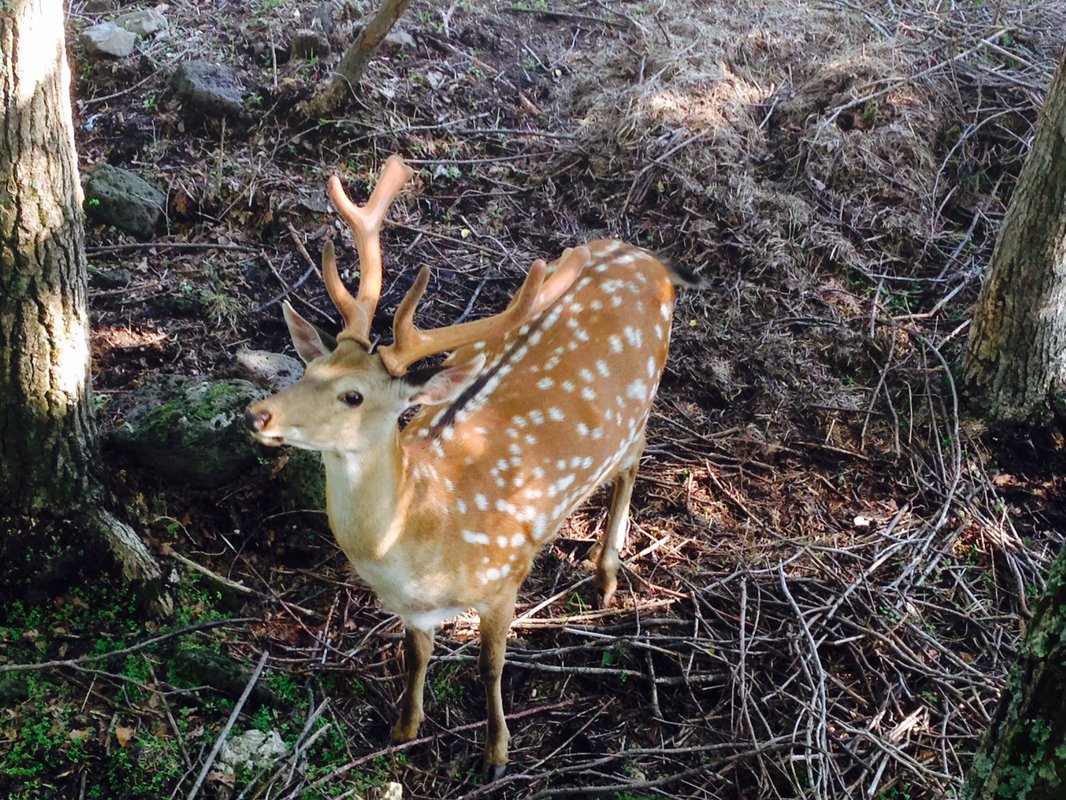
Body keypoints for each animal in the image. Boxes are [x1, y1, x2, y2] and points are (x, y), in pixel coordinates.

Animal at [244, 154, 686, 776]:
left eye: (353, 395)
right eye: (310, 370)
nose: (258, 415)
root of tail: (648, 258)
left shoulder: (507, 574)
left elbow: (490, 664)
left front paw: (496, 753)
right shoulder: (412, 611)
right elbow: (416, 654)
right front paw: (404, 726)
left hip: (642, 400)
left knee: (634, 457)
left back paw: (605, 575)